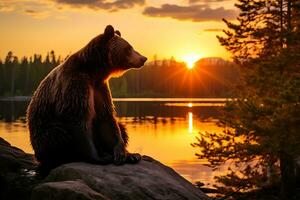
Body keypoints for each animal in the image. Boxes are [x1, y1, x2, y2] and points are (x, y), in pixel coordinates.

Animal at [26, 25, 146, 172]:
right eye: (128, 48)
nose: (144, 58)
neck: (94, 71)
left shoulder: (100, 88)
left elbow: (107, 118)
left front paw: (125, 153)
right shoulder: (76, 84)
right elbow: (78, 117)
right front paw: (99, 158)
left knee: (122, 127)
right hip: (42, 132)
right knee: (57, 135)